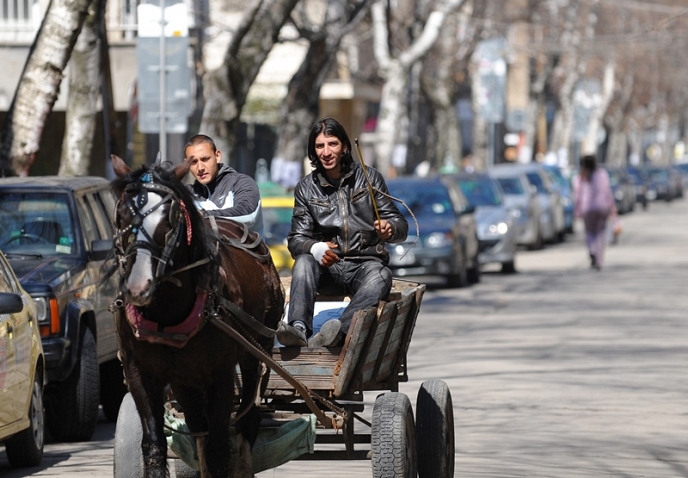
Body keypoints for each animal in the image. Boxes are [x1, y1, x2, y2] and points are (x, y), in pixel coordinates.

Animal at [109, 155, 284, 476]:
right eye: (121, 215)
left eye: (170, 218)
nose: (138, 286)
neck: (166, 312)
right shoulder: (139, 371)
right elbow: (155, 445)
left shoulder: (221, 374)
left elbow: (217, 448)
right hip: (185, 377)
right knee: (197, 424)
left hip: (256, 351)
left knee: (246, 420)